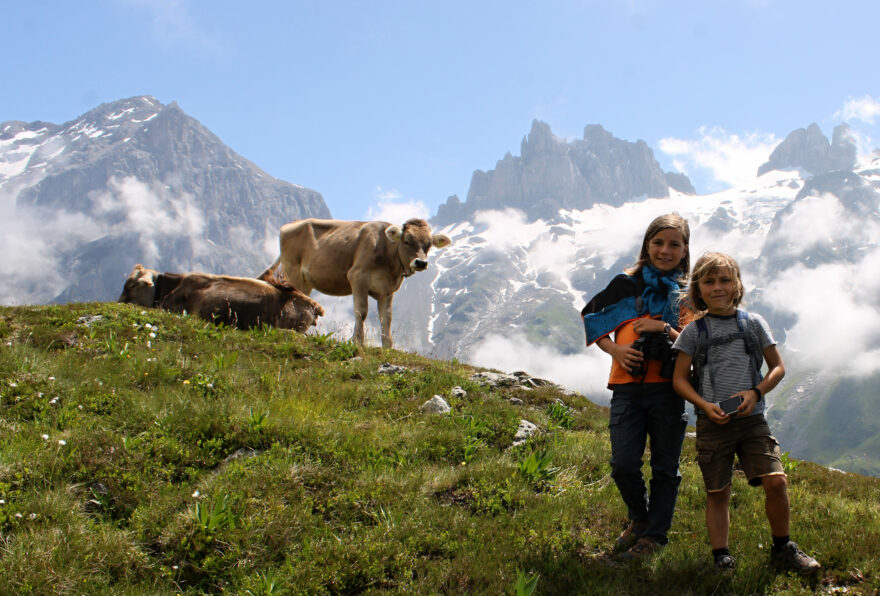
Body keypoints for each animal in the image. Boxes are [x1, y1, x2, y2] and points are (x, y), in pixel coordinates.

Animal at [256, 219, 450, 350]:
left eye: (428, 245)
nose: (421, 262)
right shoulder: (358, 278)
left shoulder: (387, 290)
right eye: (407, 241)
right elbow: (361, 312)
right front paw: (357, 341)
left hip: (305, 282)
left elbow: (386, 318)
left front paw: (387, 347)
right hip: (293, 272)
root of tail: (290, 224)